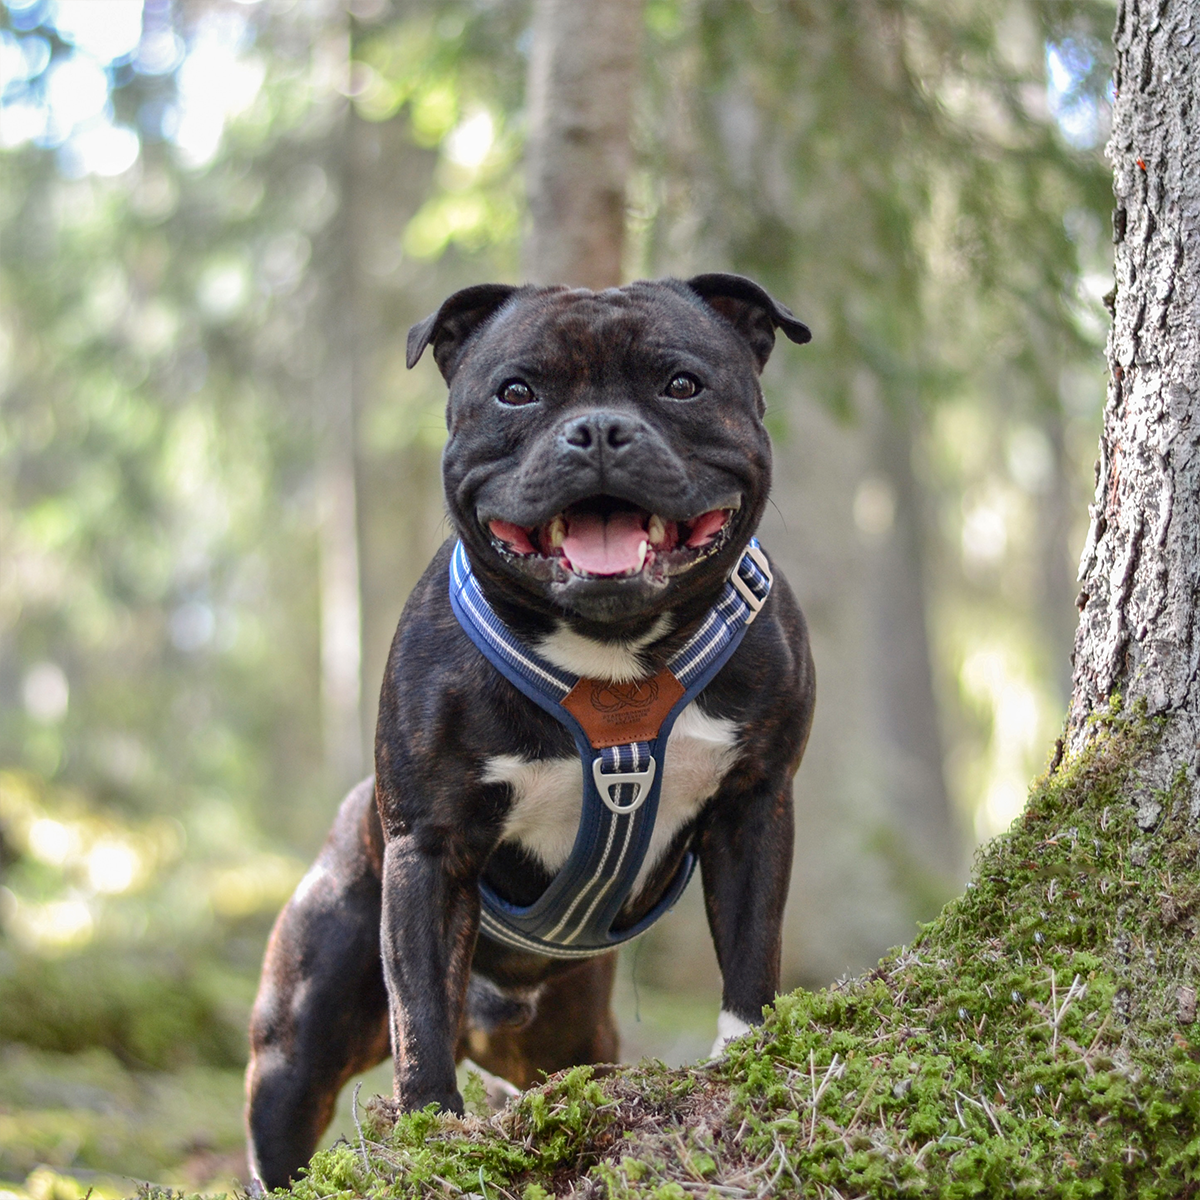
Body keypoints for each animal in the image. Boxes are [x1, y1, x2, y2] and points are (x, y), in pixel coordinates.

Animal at [248, 276, 820, 1185]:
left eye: (682, 385)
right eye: (515, 392)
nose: (599, 430)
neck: (613, 657)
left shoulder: (755, 805)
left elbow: (751, 945)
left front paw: (746, 1057)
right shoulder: (429, 850)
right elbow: (419, 1013)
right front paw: (431, 1131)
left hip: (572, 1035)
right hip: (295, 1047)